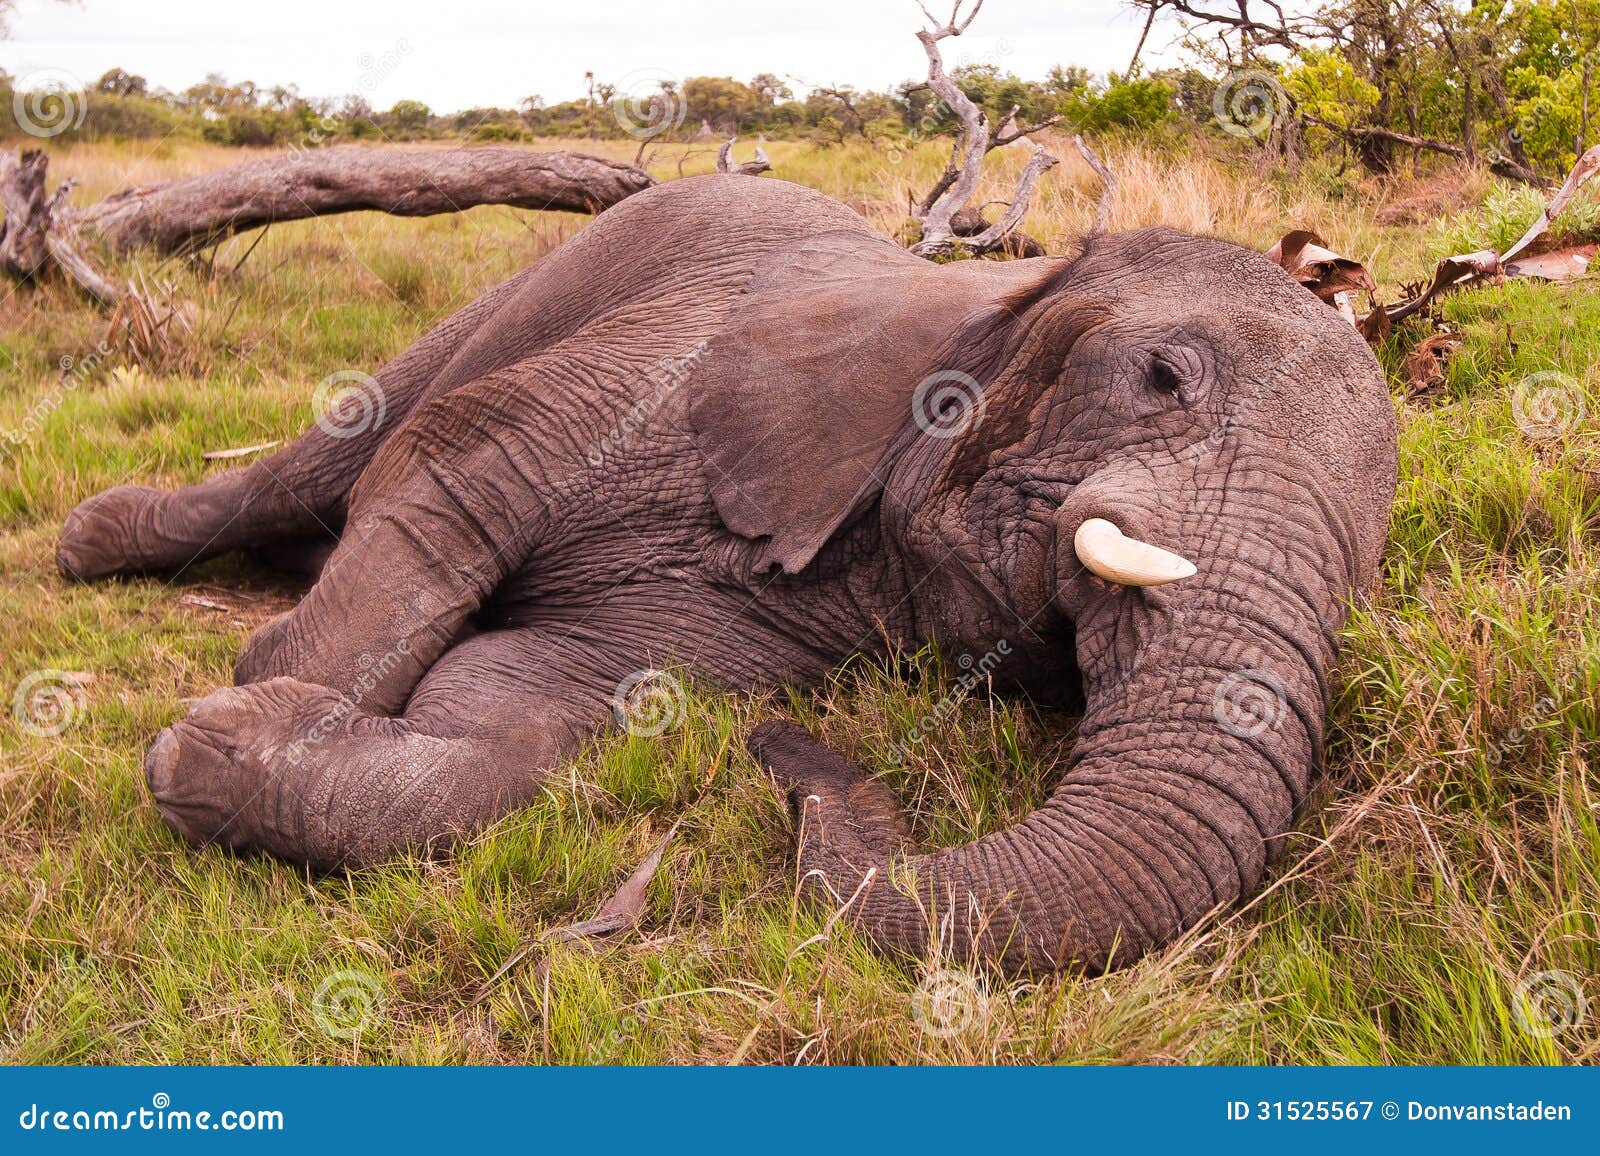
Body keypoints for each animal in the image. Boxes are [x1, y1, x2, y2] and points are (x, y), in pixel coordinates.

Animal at [56, 173, 1395, 973]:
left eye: (1371, 555)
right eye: (1162, 378)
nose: (787, 756)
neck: (992, 291)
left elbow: (525, 721)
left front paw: (225, 749)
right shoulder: (647, 367)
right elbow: (442, 491)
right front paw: (236, 709)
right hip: (517, 296)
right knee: (326, 459)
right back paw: (91, 541)